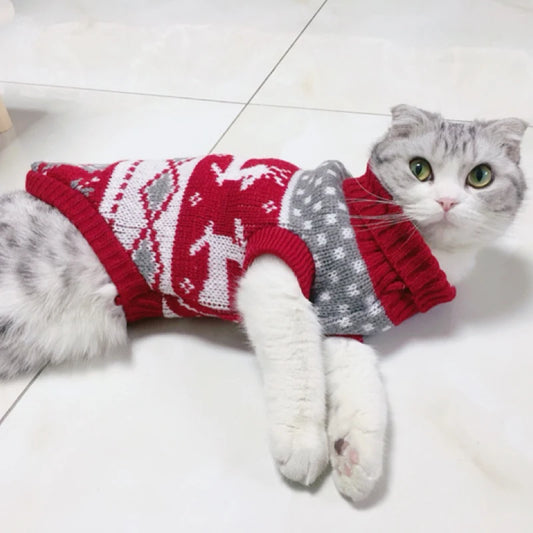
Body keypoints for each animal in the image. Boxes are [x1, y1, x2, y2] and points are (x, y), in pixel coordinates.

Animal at [0, 105, 524, 502]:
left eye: (480, 177)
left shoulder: (341, 319)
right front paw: (304, 441)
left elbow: (362, 386)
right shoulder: (274, 277)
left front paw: (354, 456)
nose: (448, 203)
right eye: (420, 169)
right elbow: (299, 363)